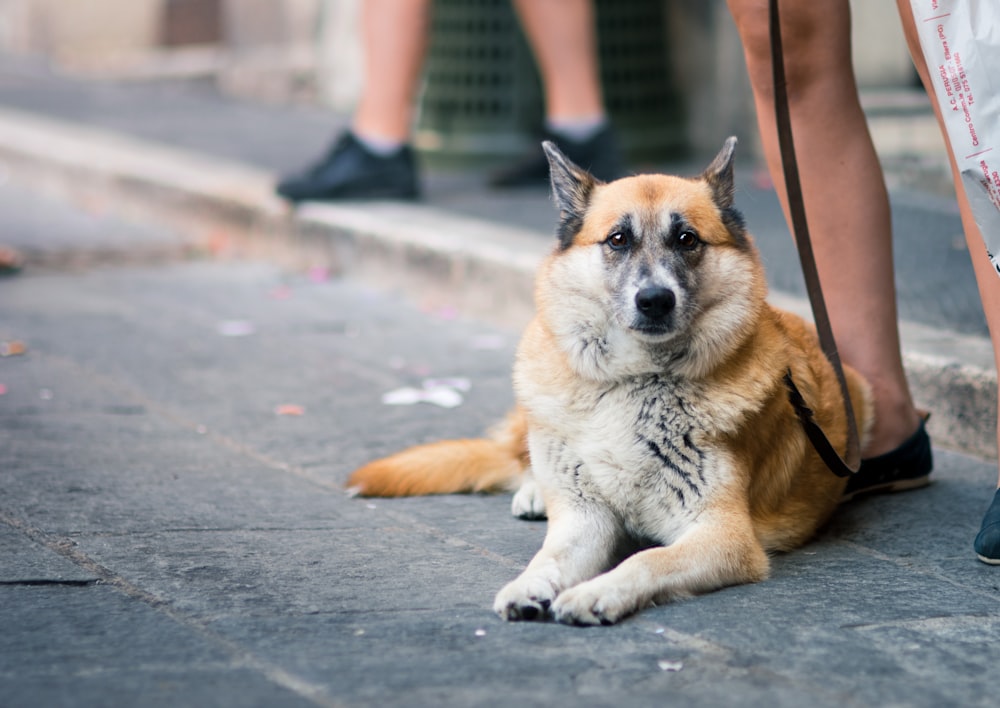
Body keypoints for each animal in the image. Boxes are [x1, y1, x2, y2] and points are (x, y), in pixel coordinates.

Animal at [348, 140, 872, 624]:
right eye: (618, 239)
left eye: (687, 239)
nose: (655, 300)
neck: (636, 380)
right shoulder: (586, 521)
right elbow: (549, 558)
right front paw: (529, 584)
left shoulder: (724, 537)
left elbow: (649, 558)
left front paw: (596, 593)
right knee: (522, 459)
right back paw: (534, 490)